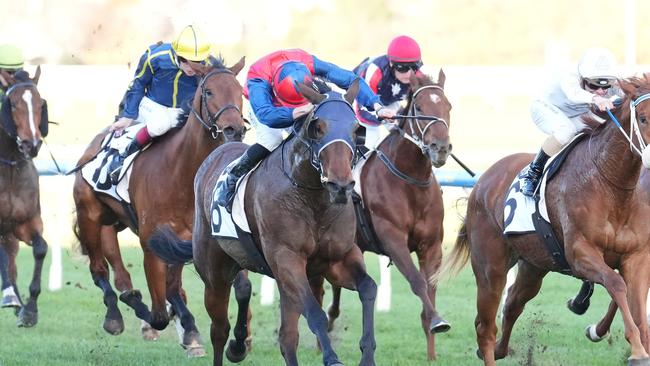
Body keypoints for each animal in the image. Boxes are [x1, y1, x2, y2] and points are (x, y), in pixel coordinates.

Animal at [72, 56, 247, 352]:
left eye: (240, 91)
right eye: (209, 91)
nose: (235, 129)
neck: (182, 173)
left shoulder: (188, 240)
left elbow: (177, 289)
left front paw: (201, 333)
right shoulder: (152, 244)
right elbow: (159, 315)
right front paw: (144, 308)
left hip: (115, 221)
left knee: (127, 272)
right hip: (89, 216)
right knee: (98, 270)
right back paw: (114, 315)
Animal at [151, 81, 374, 366]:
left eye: (357, 130)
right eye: (318, 127)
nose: (341, 185)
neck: (312, 199)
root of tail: (213, 156)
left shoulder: (336, 259)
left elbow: (368, 288)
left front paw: (367, 354)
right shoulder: (287, 258)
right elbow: (315, 313)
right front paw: (332, 358)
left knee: (287, 339)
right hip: (215, 274)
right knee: (219, 329)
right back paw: (229, 345)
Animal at [320, 71, 450, 360]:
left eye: (448, 107)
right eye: (419, 108)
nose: (440, 148)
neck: (411, 182)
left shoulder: (432, 246)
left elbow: (431, 288)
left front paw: (432, 349)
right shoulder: (393, 239)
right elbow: (417, 282)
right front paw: (438, 321)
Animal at [442, 73, 648, 364]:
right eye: (642, 118)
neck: (611, 187)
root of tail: (482, 181)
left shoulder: (637, 257)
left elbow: (636, 304)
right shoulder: (580, 253)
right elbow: (617, 284)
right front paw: (637, 350)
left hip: (533, 264)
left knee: (512, 303)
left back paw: (501, 349)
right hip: (490, 267)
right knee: (485, 326)